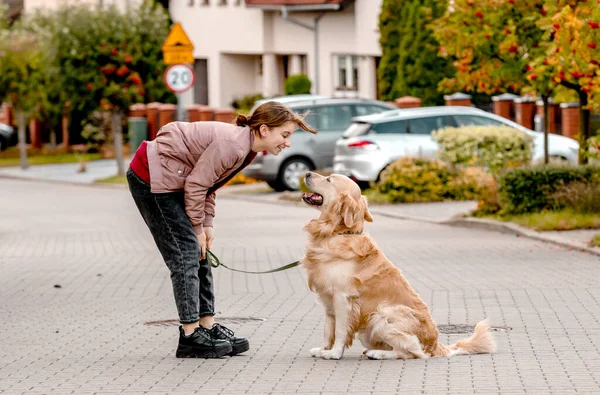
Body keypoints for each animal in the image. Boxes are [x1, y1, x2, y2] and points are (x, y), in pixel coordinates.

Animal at [300, 172, 496, 360]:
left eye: (328, 179)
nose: (307, 173)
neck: (337, 233)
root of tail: (435, 345)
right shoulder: (328, 300)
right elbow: (328, 330)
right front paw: (323, 349)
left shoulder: (343, 297)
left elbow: (340, 330)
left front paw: (334, 353)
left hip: (383, 315)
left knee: (412, 351)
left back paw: (378, 354)